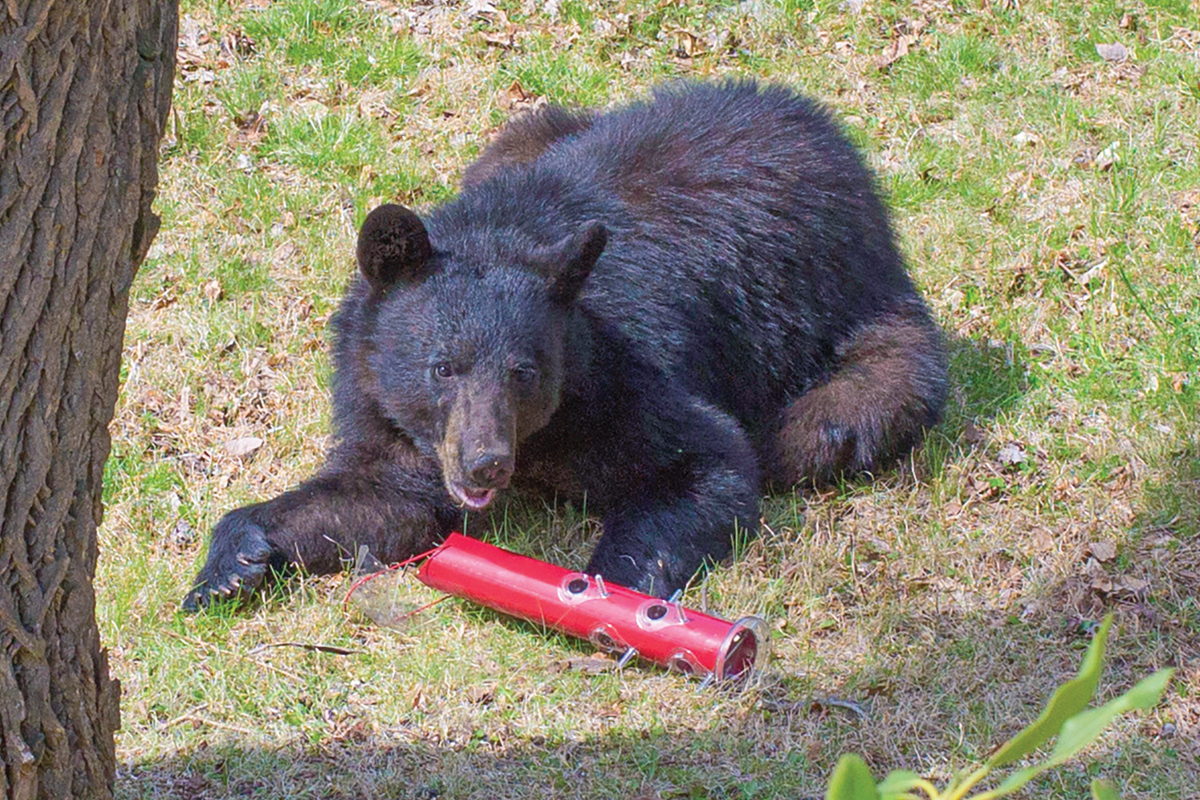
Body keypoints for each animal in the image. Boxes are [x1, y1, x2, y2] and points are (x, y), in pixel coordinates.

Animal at [182, 80, 948, 611]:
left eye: (525, 371)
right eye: (441, 368)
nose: (486, 463)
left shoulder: (618, 376)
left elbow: (709, 458)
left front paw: (607, 588)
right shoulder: (383, 403)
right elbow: (380, 495)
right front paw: (233, 562)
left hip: (856, 318)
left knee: (835, 418)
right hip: (527, 133)